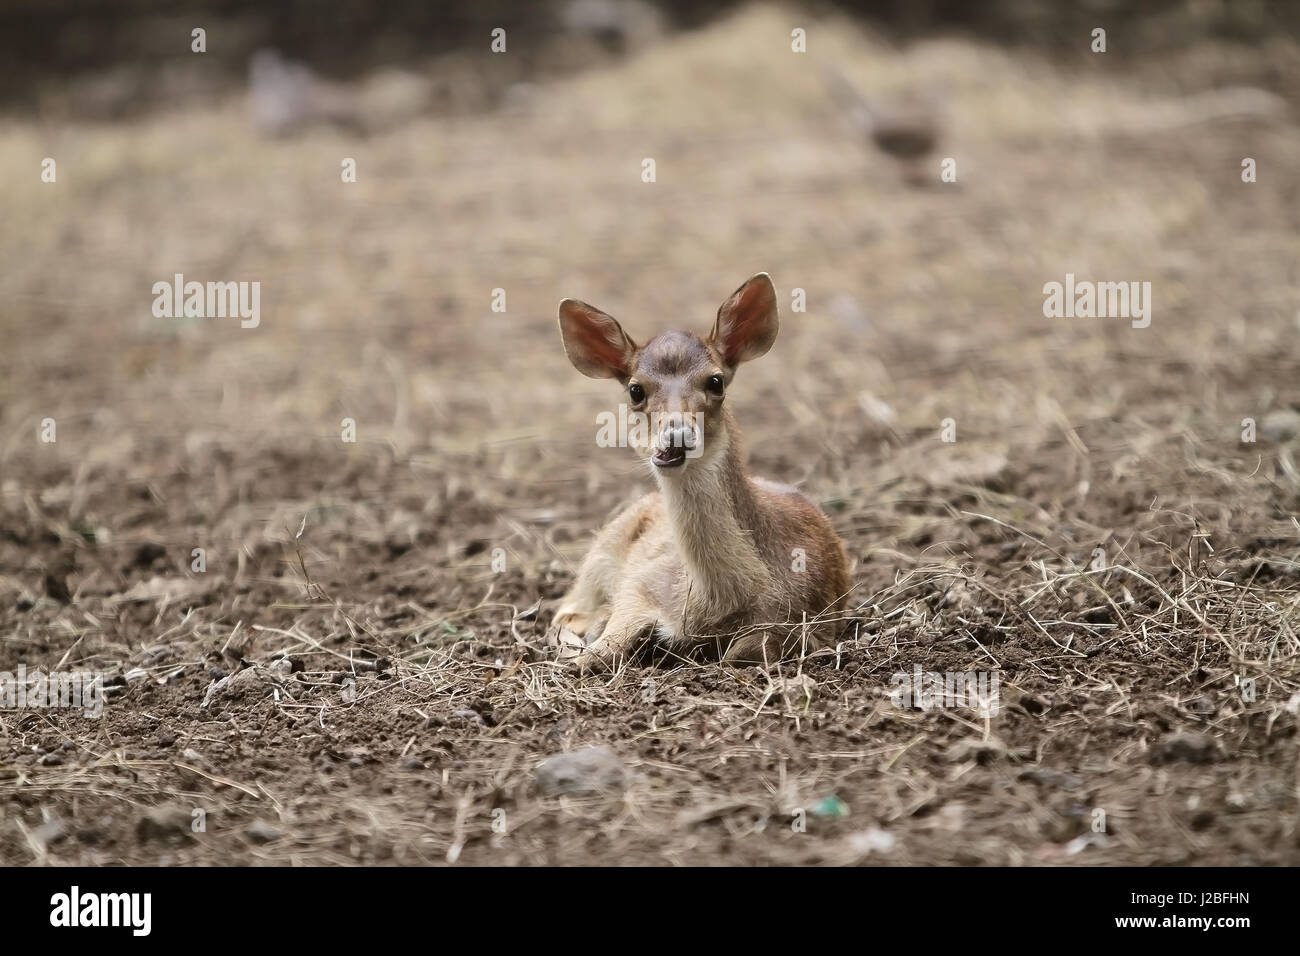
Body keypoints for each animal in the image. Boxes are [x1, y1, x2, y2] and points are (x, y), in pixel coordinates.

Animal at [548, 273, 852, 671]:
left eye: (716, 381)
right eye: (635, 390)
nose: (676, 434)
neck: (714, 602)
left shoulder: (808, 618)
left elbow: (745, 651)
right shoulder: (640, 583)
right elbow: (600, 649)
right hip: (599, 554)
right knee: (564, 612)